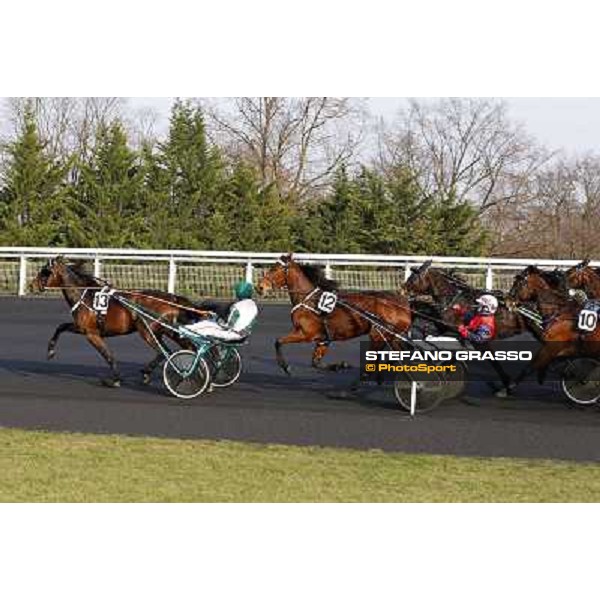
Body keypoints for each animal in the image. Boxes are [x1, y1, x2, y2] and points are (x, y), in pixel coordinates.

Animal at [31, 255, 209, 386]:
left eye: (45, 271)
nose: (31, 286)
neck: (85, 296)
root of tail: (172, 299)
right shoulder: (81, 328)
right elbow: (61, 327)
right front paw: (50, 351)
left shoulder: (91, 333)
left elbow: (108, 356)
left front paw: (115, 379)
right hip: (168, 331)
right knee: (187, 348)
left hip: (147, 331)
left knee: (165, 352)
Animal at [255, 253, 410, 376]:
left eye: (275, 269)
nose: (260, 287)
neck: (310, 300)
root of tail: (403, 306)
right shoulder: (323, 339)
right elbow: (315, 363)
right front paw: (339, 366)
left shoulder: (306, 333)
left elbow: (278, 341)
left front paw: (286, 367)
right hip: (392, 337)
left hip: (379, 335)